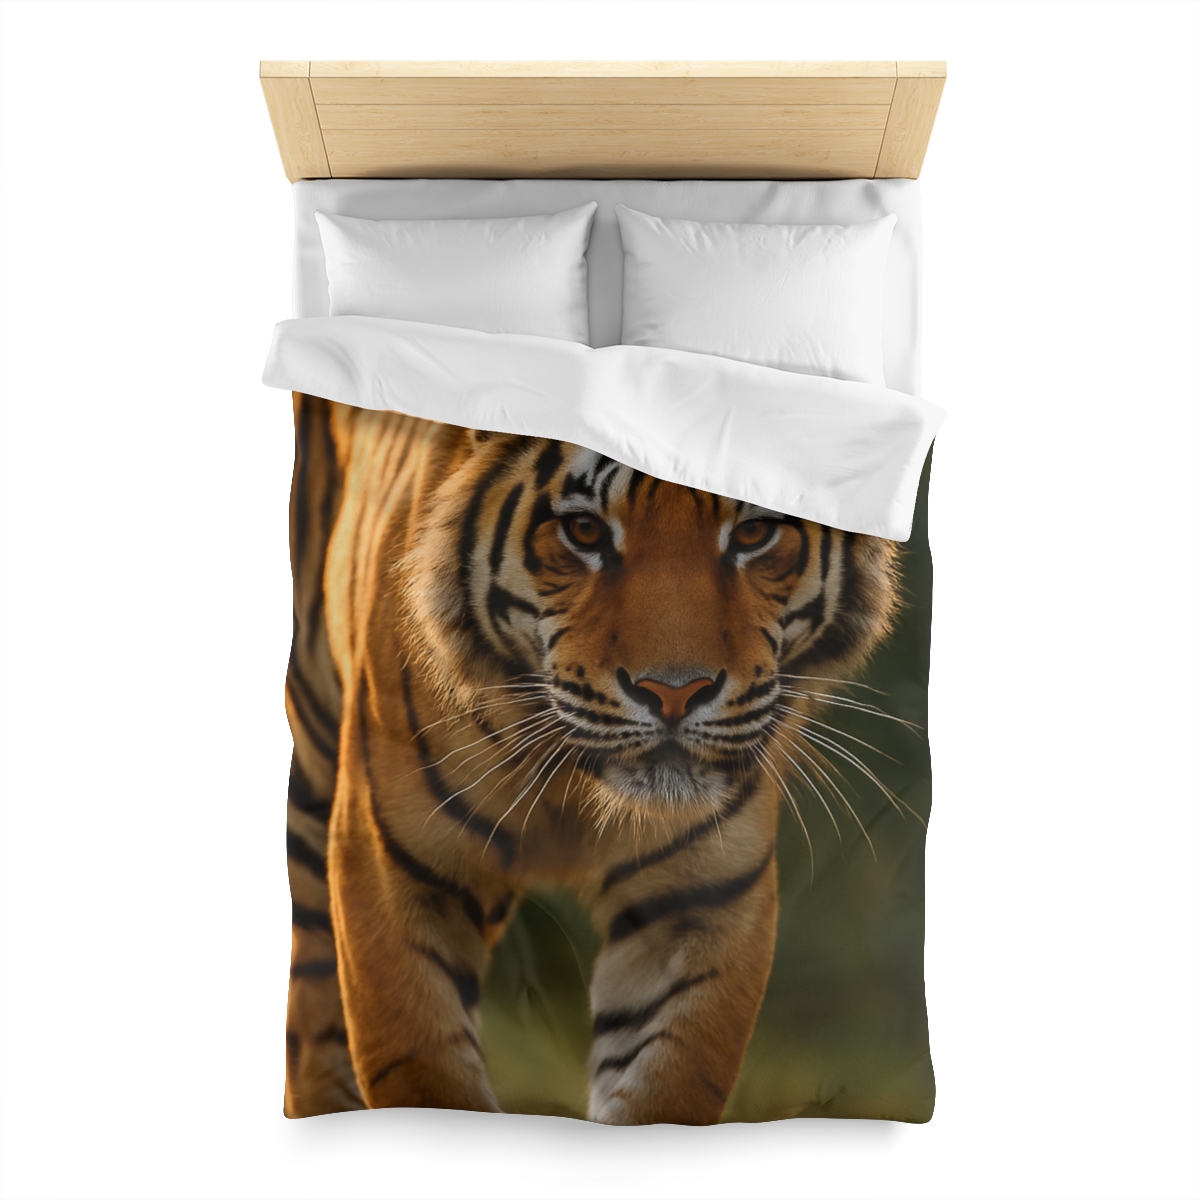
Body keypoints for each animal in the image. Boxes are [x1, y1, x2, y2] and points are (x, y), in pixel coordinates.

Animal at [283, 392, 901, 1124]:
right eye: (583, 532)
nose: (674, 693)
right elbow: (423, 1071)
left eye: (753, 535)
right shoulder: (394, 873)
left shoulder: (698, 900)